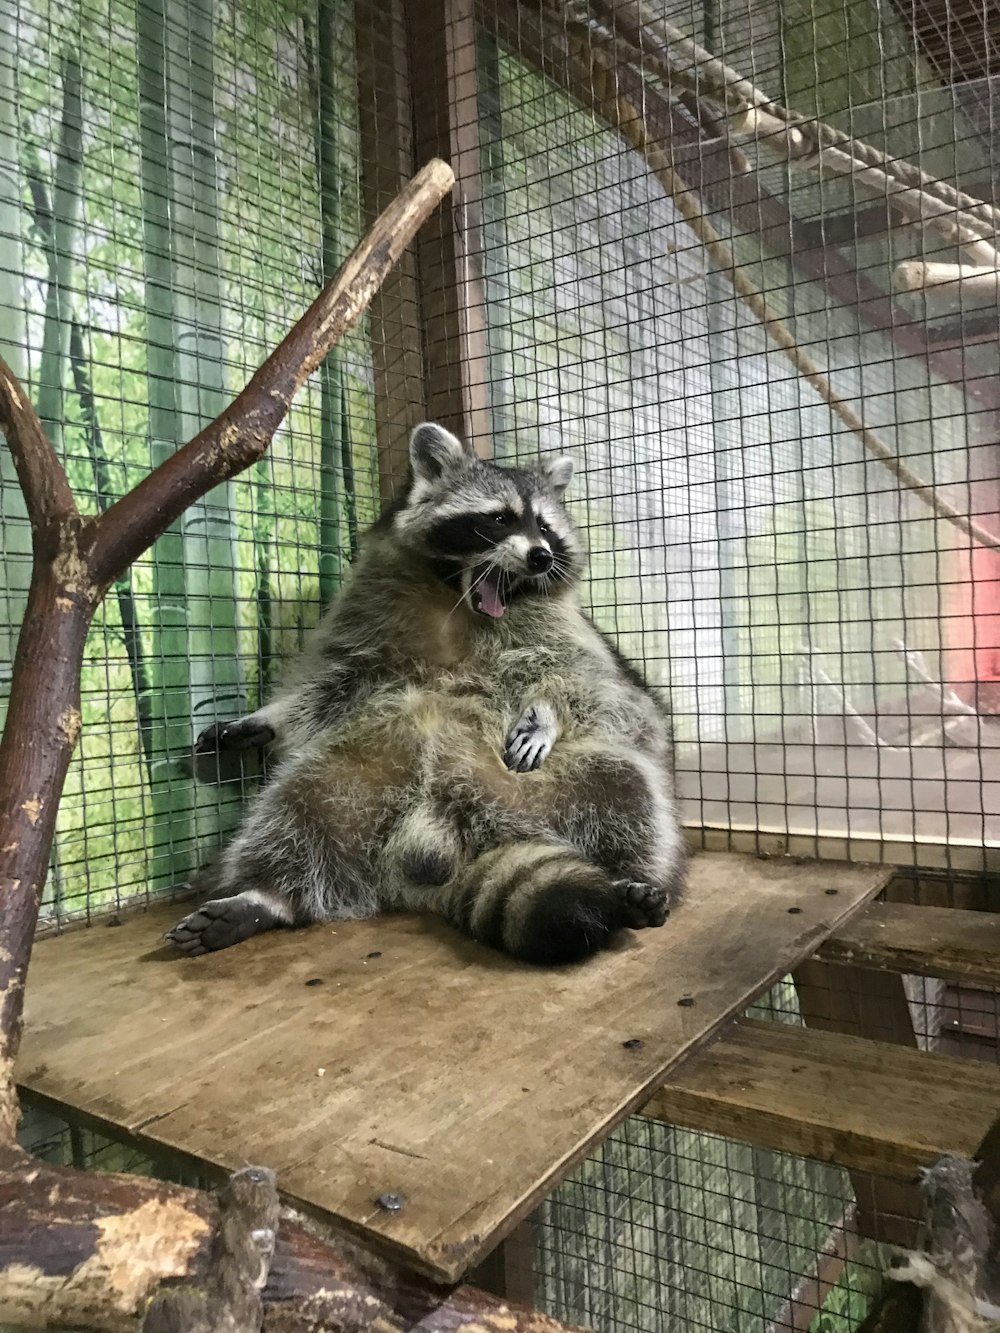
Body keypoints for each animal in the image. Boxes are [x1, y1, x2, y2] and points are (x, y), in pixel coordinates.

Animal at [168, 421, 688, 965]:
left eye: (545, 527)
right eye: (499, 519)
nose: (540, 556)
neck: (459, 599)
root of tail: (450, 840)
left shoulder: (572, 633)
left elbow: (599, 688)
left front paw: (544, 713)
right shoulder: (367, 616)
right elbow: (332, 684)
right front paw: (267, 719)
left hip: (552, 790)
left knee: (627, 790)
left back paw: (630, 879)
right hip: (365, 769)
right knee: (299, 809)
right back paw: (266, 894)